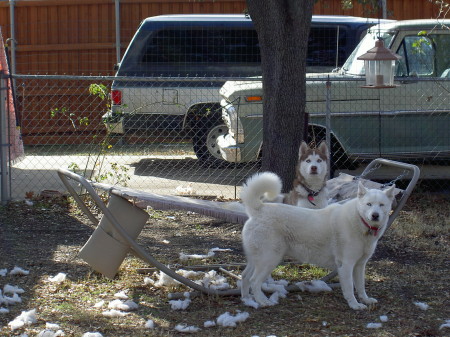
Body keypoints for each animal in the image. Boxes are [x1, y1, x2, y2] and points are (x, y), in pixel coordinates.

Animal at [241, 172, 396, 308]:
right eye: (369, 204)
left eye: (381, 205)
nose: (375, 215)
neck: (360, 221)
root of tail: (259, 209)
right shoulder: (346, 265)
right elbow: (350, 288)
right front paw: (354, 305)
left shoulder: (359, 265)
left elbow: (361, 286)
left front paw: (365, 300)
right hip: (269, 259)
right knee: (254, 281)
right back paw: (263, 301)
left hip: (257, 259)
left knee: (245, 276)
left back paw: (247, 300)